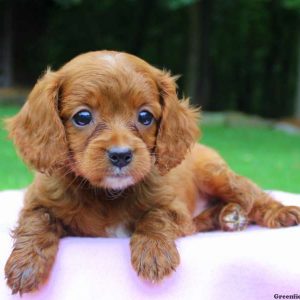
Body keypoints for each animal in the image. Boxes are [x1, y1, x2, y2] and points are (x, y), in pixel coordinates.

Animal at [4, 50, 300, 294]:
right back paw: (230, 216)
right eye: (83, 117)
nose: (121, 155)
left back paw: (278, 212)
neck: (108, 193)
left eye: (145, 116)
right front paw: (25, 264)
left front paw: (154, 253)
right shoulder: (38, 200)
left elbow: (154, 216)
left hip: (216, 175)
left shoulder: (175, 209)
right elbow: (37, 220)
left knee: (252, 195)